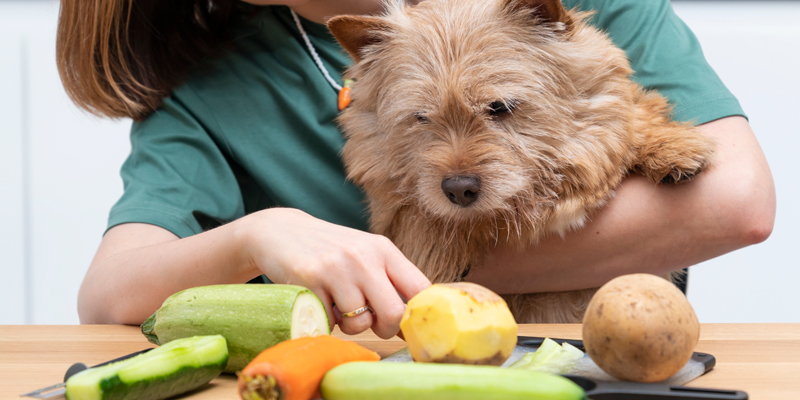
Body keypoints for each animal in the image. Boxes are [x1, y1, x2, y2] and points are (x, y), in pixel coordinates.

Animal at [328, 0, 716, 324]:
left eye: (500, 107)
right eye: (421, 117)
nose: (458, 189)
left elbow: (635, 113)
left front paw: (671, 145)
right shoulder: (391, 208)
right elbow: (417, 217)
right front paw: (438, 245)